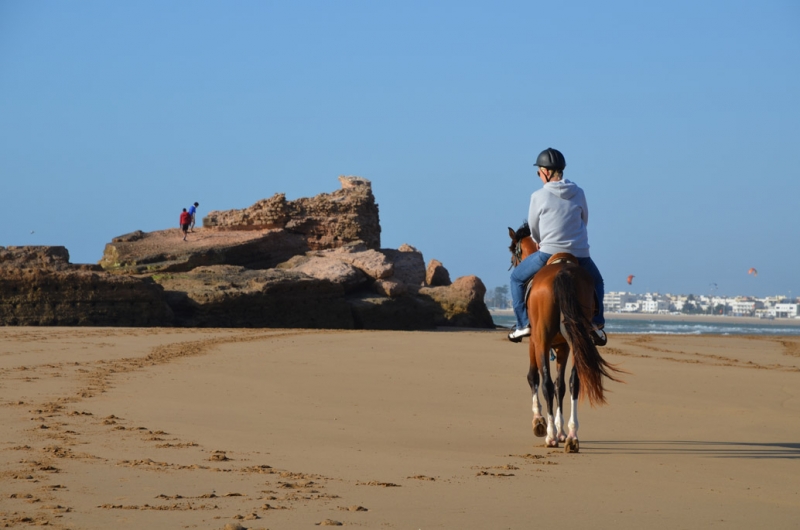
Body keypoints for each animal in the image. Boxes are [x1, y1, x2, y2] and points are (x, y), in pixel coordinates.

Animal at [506, 222, 624, 450]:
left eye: (513, 252)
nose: (513, 265)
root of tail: (563, 272)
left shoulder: (534, 342)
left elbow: (534, 377)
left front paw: (540, 423)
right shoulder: (563, 346)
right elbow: (561, 385)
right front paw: (561, 431)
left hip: (542, 340)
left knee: (546, 383)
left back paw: (550, 436)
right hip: (578, 340)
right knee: (573, 382)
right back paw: (571, 436)